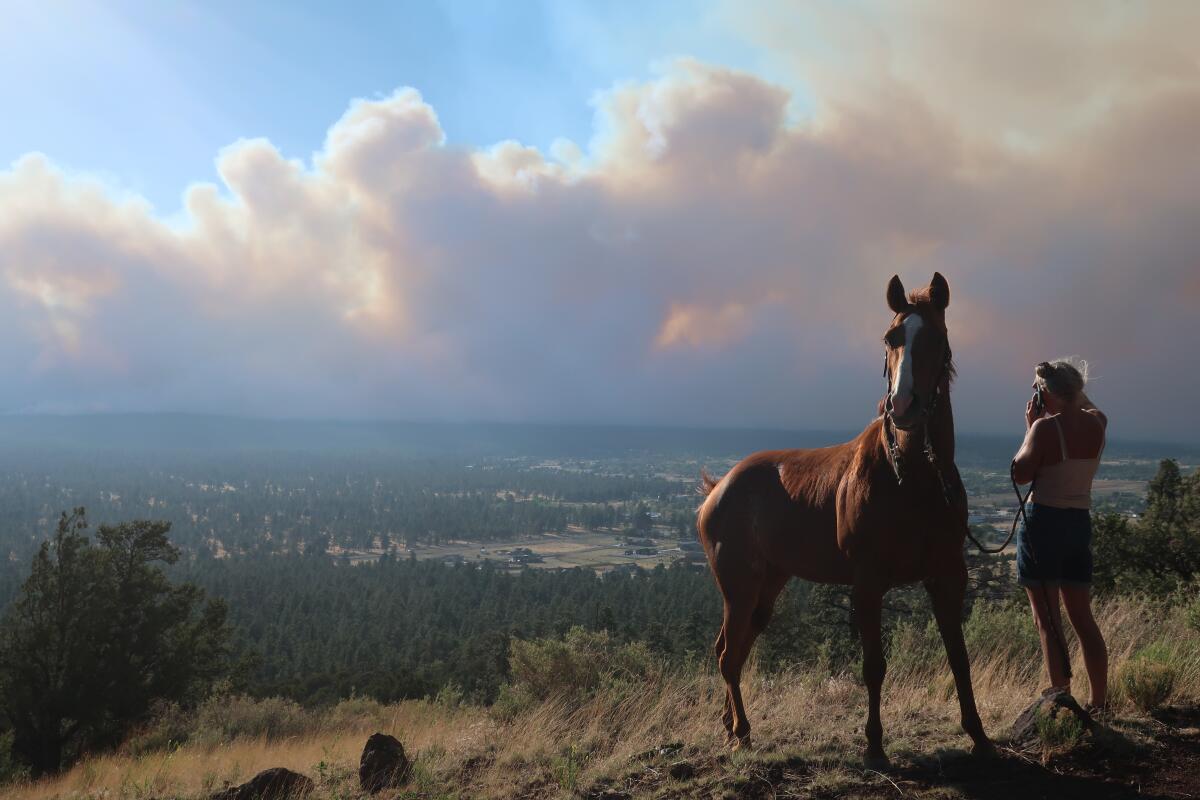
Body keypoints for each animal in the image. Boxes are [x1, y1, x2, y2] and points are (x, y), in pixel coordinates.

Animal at [700, 272, 988, 767]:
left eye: (937, 338)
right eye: (891, 338)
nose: (904, 405)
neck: (911, 479)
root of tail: (718, 489)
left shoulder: (948, 575)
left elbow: (959, 657)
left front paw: (979, 735)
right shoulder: (868, 583)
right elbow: (873, 665)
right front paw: (874, 745)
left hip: (768, 585)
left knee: (732, 647)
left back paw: (729, 725)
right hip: (739, 588)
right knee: (729, 656)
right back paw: (742, 730)